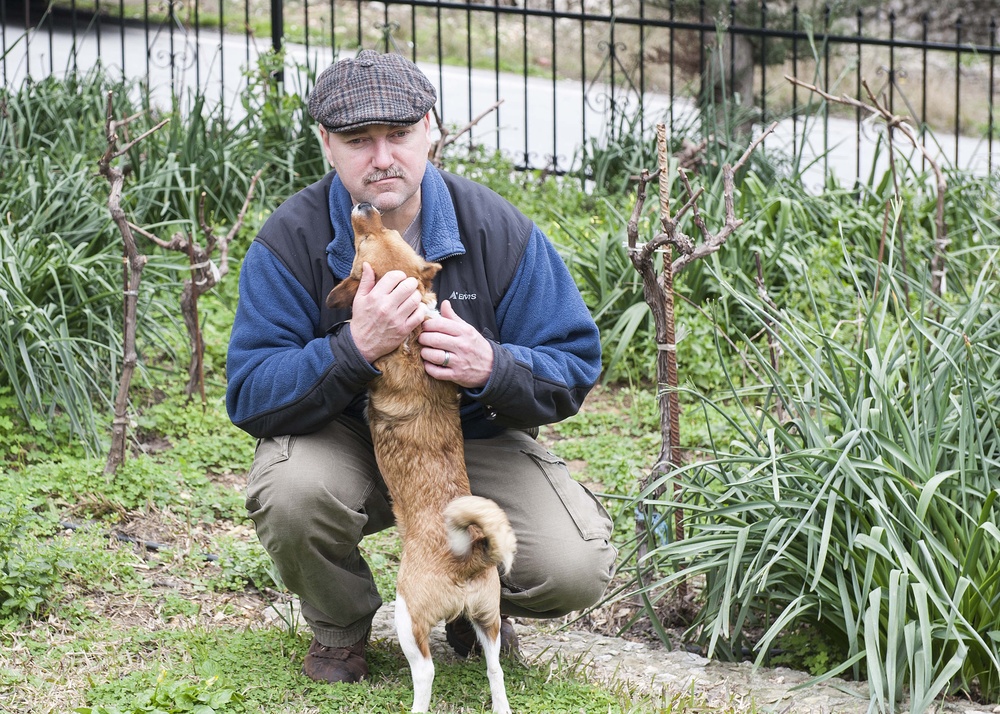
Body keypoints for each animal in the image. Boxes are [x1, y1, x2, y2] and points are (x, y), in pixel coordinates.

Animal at [328, 200, 516, 712]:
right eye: (384, 233)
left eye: (362, 243)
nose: (365, 204)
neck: (413, 325)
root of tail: (468, 557)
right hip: (489, 620)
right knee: (495, 669)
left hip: (406, 614)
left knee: (426, 672)